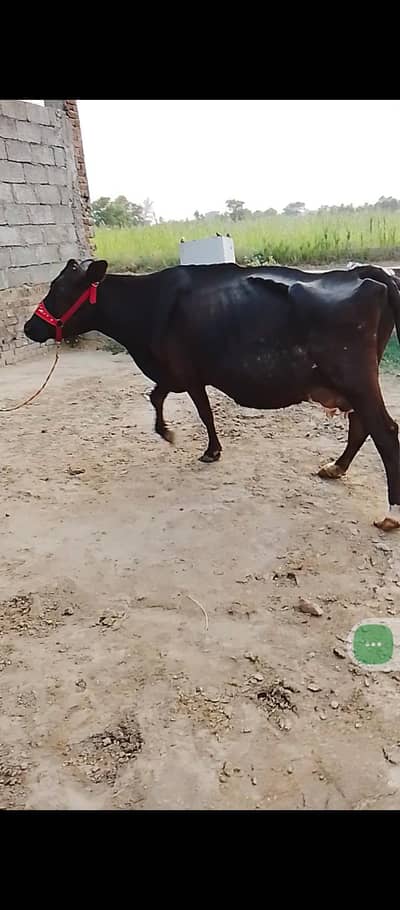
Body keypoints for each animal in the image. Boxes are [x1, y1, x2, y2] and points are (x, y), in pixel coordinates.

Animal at [24, 258, 400, 531]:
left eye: (58, 289)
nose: (29, 327)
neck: (147, 307)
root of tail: (366, 272)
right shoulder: (175, 373)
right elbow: (156, 396)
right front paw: (167, 432)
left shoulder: (188, 373)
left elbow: (202, 412)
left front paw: (208, 450)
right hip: (355, 384)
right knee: (361, 426)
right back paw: (336, 467)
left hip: (355, 378)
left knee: (384, 431)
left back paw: (391, 513)